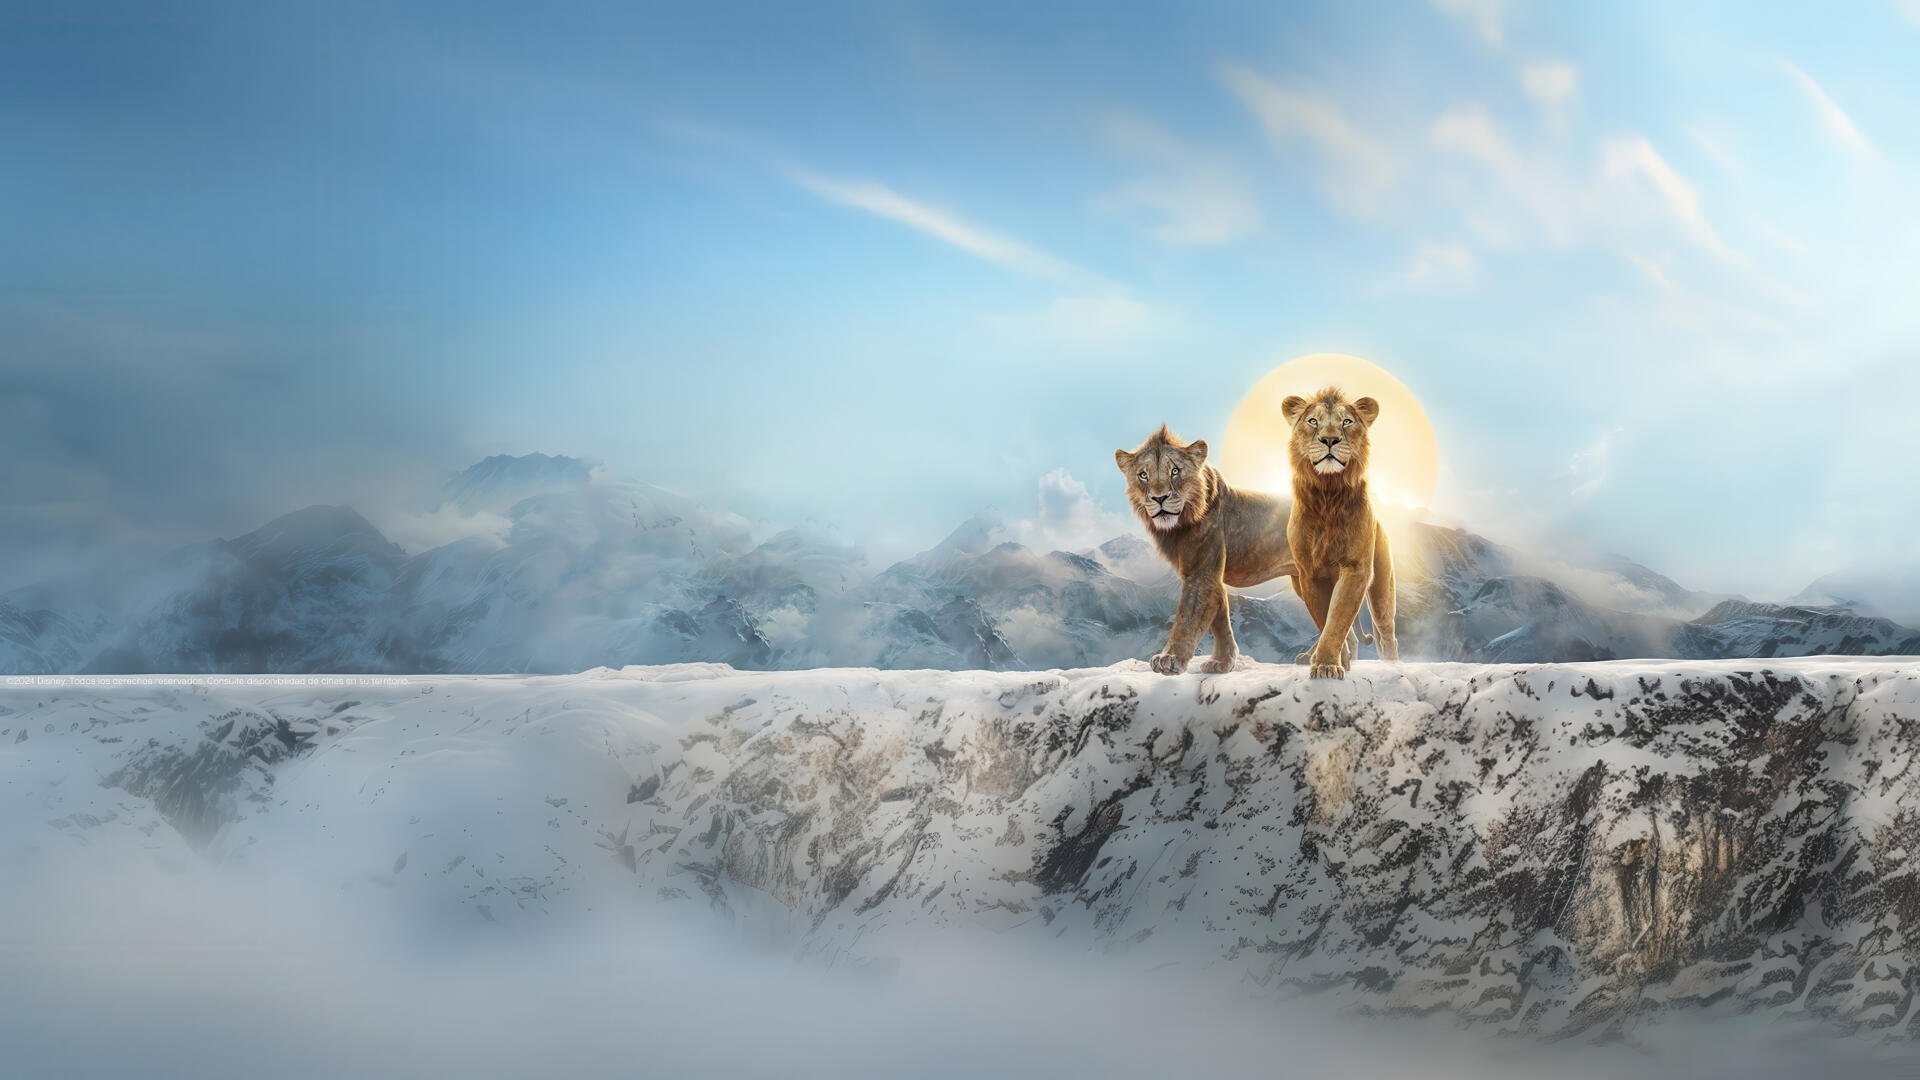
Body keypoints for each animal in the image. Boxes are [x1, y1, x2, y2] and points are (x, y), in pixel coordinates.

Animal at [1115, 425, 1300, 675]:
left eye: (1175, 471)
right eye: (1143, 475)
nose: (1159, 498)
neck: (1179, 525)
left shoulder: (1200, 573)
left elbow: (1188, 616)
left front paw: (1169, 658)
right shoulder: (1211, 575)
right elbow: (1220, 620)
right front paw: (1222, 662)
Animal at [1281, 387, 1398, 679]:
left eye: (1347, 422)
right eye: (1313, 421)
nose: (1330, 440)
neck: (1328, 494)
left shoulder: (1356, 568)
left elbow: (1337, 620)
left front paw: (1326, 665)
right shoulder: (1309, 574)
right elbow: (1327, 619)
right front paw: (1334, 662)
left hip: (1382, 592)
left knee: (1386, 634)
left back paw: (1393, 665)